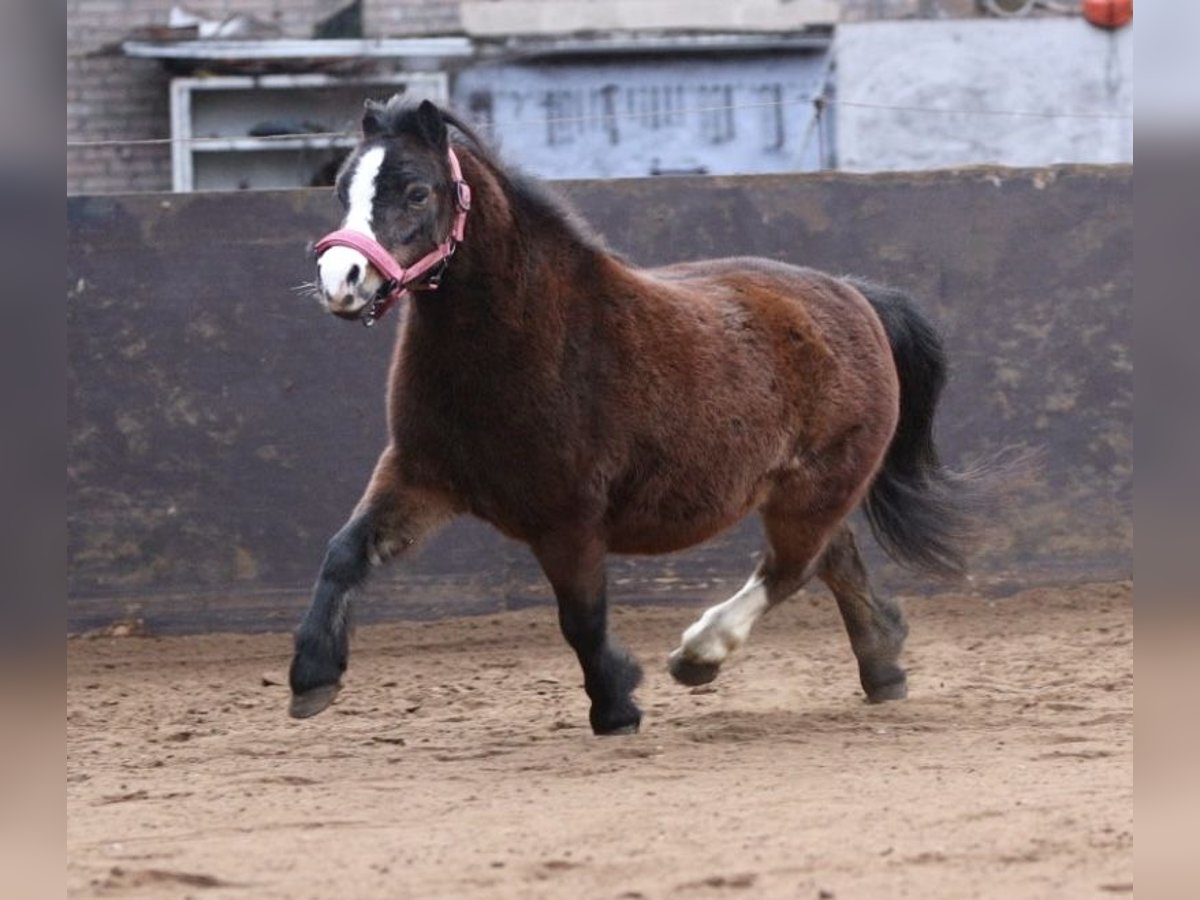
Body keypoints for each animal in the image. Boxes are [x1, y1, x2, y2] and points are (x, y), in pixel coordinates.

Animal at [289, 97, 989, 735]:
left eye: (415, 191)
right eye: (343, 189)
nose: (341, 279)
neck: (524, 339)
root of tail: (855, 296)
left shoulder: (567, 516)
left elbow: (582, 617)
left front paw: (616, 705)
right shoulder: (421, 475)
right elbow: (345, 552)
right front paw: (311, 678)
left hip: (816, 487)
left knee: (791, 569)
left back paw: (700, 655)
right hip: (806, 492)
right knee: (834, 560)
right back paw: (883, 669)